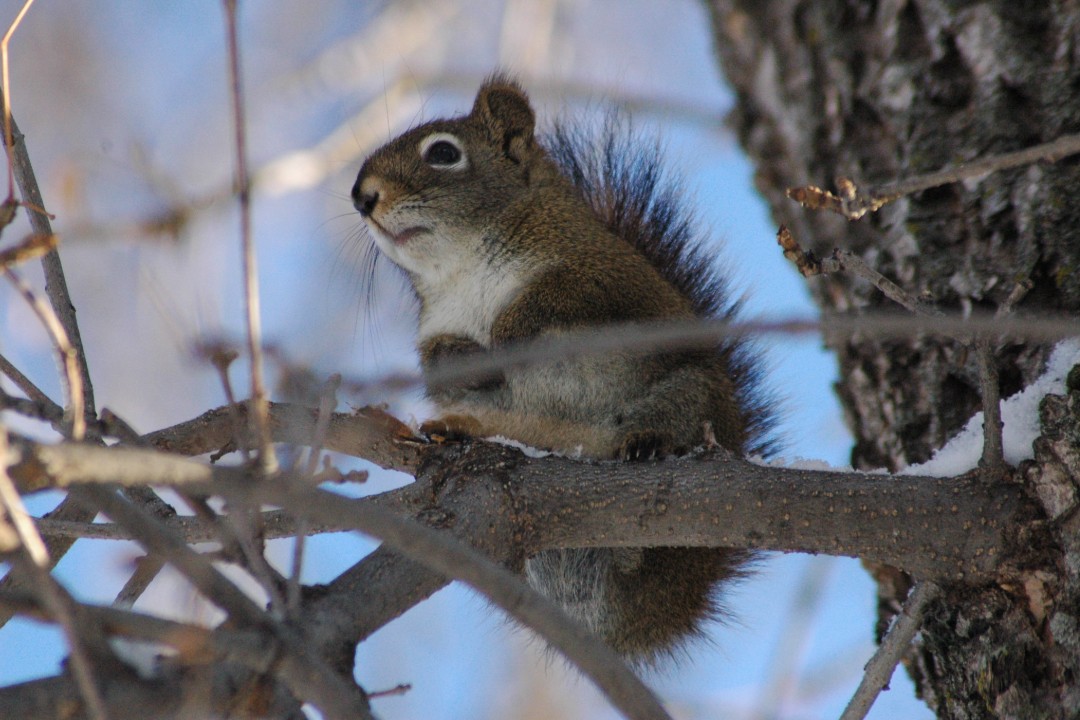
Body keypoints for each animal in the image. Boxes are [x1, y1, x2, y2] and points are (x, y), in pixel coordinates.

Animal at [351, 74, 775, 664]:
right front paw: (470, 364)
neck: (464, 268)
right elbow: (437, 366)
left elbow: (554, 298)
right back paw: (457, 430)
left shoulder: (609, 278)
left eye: (443, 153)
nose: (361, 196)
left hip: (695, 392)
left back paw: (646, 442)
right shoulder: (434, 326)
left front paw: (506, 336)